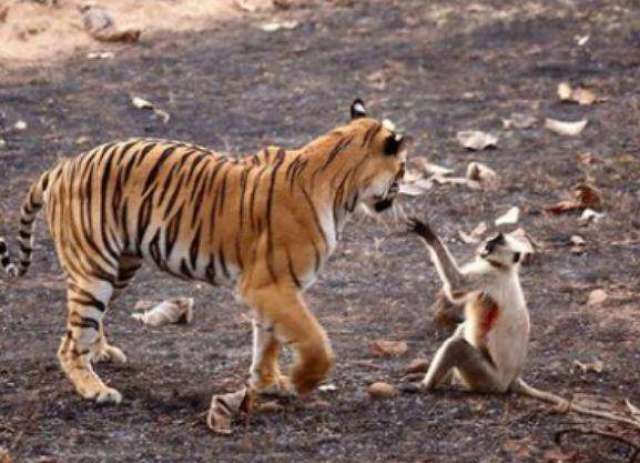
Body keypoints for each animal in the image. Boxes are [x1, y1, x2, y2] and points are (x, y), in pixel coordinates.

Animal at [0, 99, 408, 404]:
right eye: (402, 168)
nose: (399, 194)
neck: (341, 189)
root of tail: (64, 165)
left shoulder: (270, 290)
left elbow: (268, 341)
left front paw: (267, 383)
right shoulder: (271, 285)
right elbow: (313, 339)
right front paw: (303, 381)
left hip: (119, 268)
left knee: (81, 329)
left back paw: (102, 354)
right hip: (94, 271)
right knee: (70, 342)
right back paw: (95, 389)